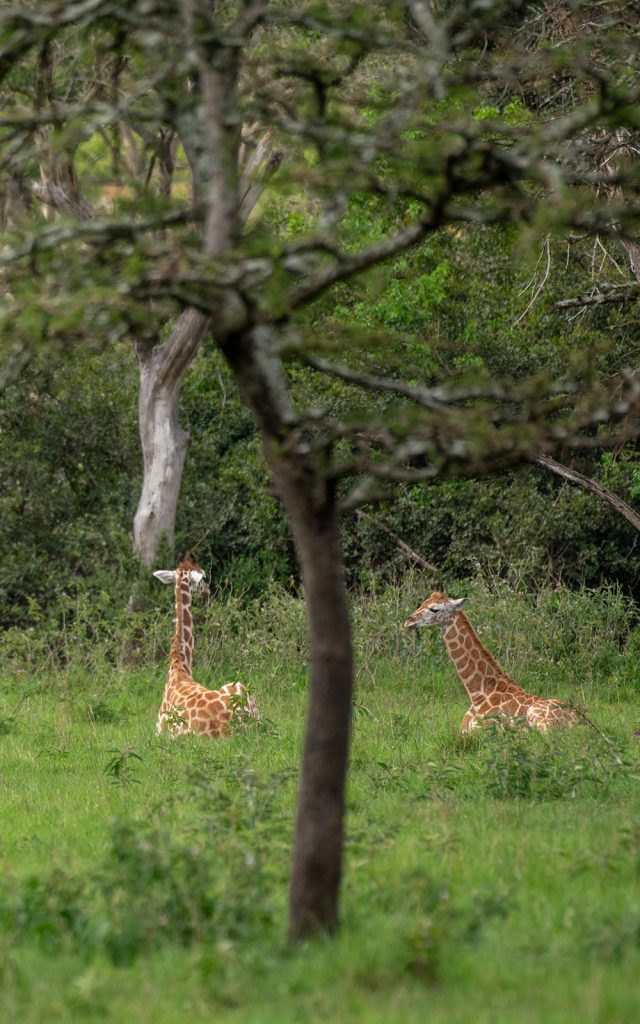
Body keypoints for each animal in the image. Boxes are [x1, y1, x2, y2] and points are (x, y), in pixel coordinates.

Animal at [403, 592, 582, 732]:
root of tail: (581, 721)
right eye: (423, 602)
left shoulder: (483, 731)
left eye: (434, 609)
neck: (478, 694)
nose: (408, 622)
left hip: (538, 717)